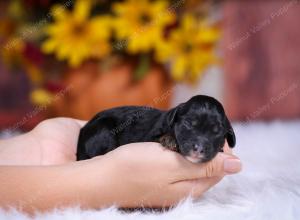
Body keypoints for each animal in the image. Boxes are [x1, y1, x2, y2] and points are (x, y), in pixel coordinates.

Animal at [76, 95, 236, 163]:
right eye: (188, 124)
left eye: (216, 131)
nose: (199, 148)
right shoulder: (150, 135)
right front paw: (170, 139)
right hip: (103, 129)